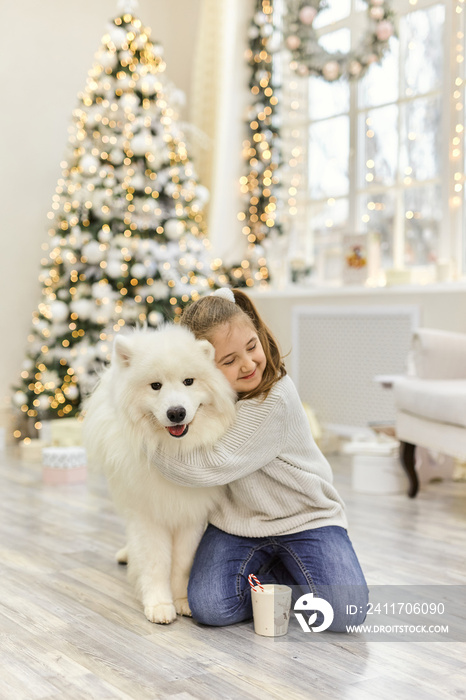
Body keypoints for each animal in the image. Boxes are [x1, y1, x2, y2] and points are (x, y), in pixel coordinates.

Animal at [82, 326, 237, 628]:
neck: (174, 449)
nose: (176, 412)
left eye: (188, 381)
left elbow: (181, 563)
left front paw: (182, 600)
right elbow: (155, 562)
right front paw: (159, 604)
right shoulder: (147, 514)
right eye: (155, 386)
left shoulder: (190, 514)